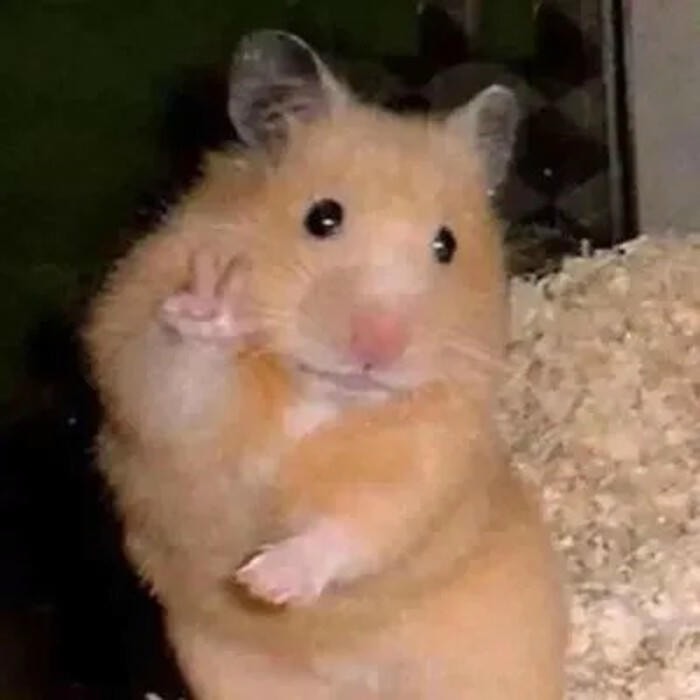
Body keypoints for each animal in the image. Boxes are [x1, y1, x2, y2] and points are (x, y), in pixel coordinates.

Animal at [83, 30, 568, 700]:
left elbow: (363, 523)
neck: (321, 397)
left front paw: (265, 581)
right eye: (322, 217)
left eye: (446, 245)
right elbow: (180, 378)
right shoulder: (144, 377)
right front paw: (216, 301)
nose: (378, 347)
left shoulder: (431, 457)